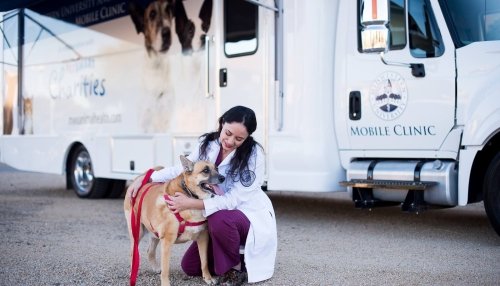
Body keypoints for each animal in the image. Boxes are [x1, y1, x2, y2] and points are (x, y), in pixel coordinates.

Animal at [125, 155, 225, 284]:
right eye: (205, 170)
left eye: (216, 168)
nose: (223, 178)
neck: (190, 196)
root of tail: (138, 180)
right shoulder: (167, 241)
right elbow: (166, 269)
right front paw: (165, 283)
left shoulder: (203, 237)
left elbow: (204, 262)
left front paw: (207, 278)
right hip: (138, 232)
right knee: (133, 253)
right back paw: (133, 272)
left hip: (155, 232)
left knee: (150, 251)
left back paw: (155, 268)